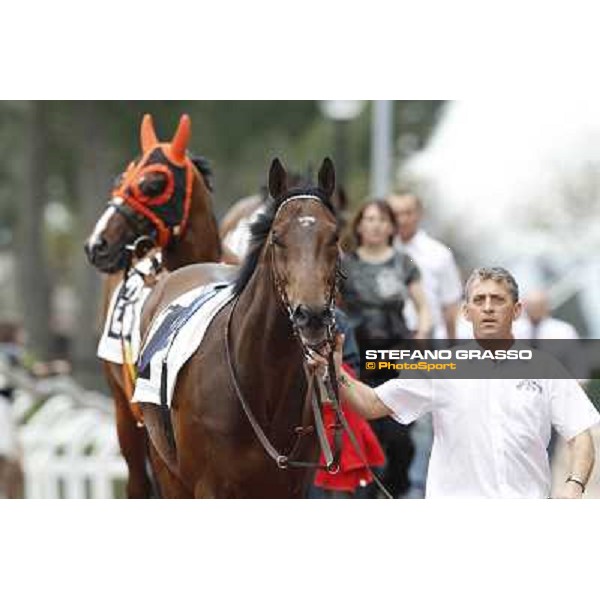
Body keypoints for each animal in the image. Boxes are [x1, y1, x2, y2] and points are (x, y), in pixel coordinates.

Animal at [138, 156, 340, 496]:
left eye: (335, 237)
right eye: (277, 237)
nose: (311, 316)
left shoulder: (291, 487)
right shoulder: (209, 486)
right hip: (167, 470)